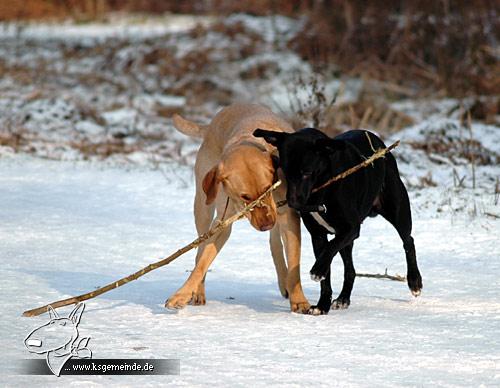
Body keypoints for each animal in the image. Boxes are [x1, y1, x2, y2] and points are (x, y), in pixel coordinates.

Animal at [254, 128, 422, 316]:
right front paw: (322, 305)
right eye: (285, 172)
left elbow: (330, 248)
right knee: (350, 270)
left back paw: (414, 281)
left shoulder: (351, 228)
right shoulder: (318, 235)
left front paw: (318, 270)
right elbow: (326, 271)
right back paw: (343, 299)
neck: (323, 187)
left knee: (408, 241)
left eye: (306, 172)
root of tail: (378, 141)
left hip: (398, 211)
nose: (293, 203)